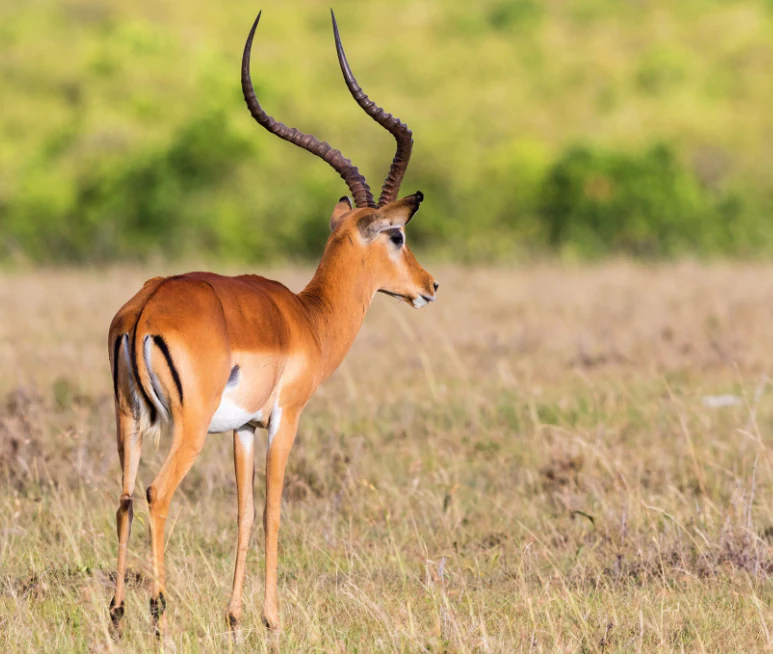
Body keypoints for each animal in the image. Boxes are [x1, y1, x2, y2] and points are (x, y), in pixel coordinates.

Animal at [107, 10, 438, 635]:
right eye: (397, 235)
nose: (430, 286)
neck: (308, 318)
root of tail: (147, 305)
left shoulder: (243, 429)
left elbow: (242, 513)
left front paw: (234, 616)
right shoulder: (286, 419)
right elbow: (273, 511)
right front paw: (271, 619)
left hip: (129, 421)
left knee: (125, 499)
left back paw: (114, 615)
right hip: (186, 428)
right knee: (158, 493)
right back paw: (157, 613)